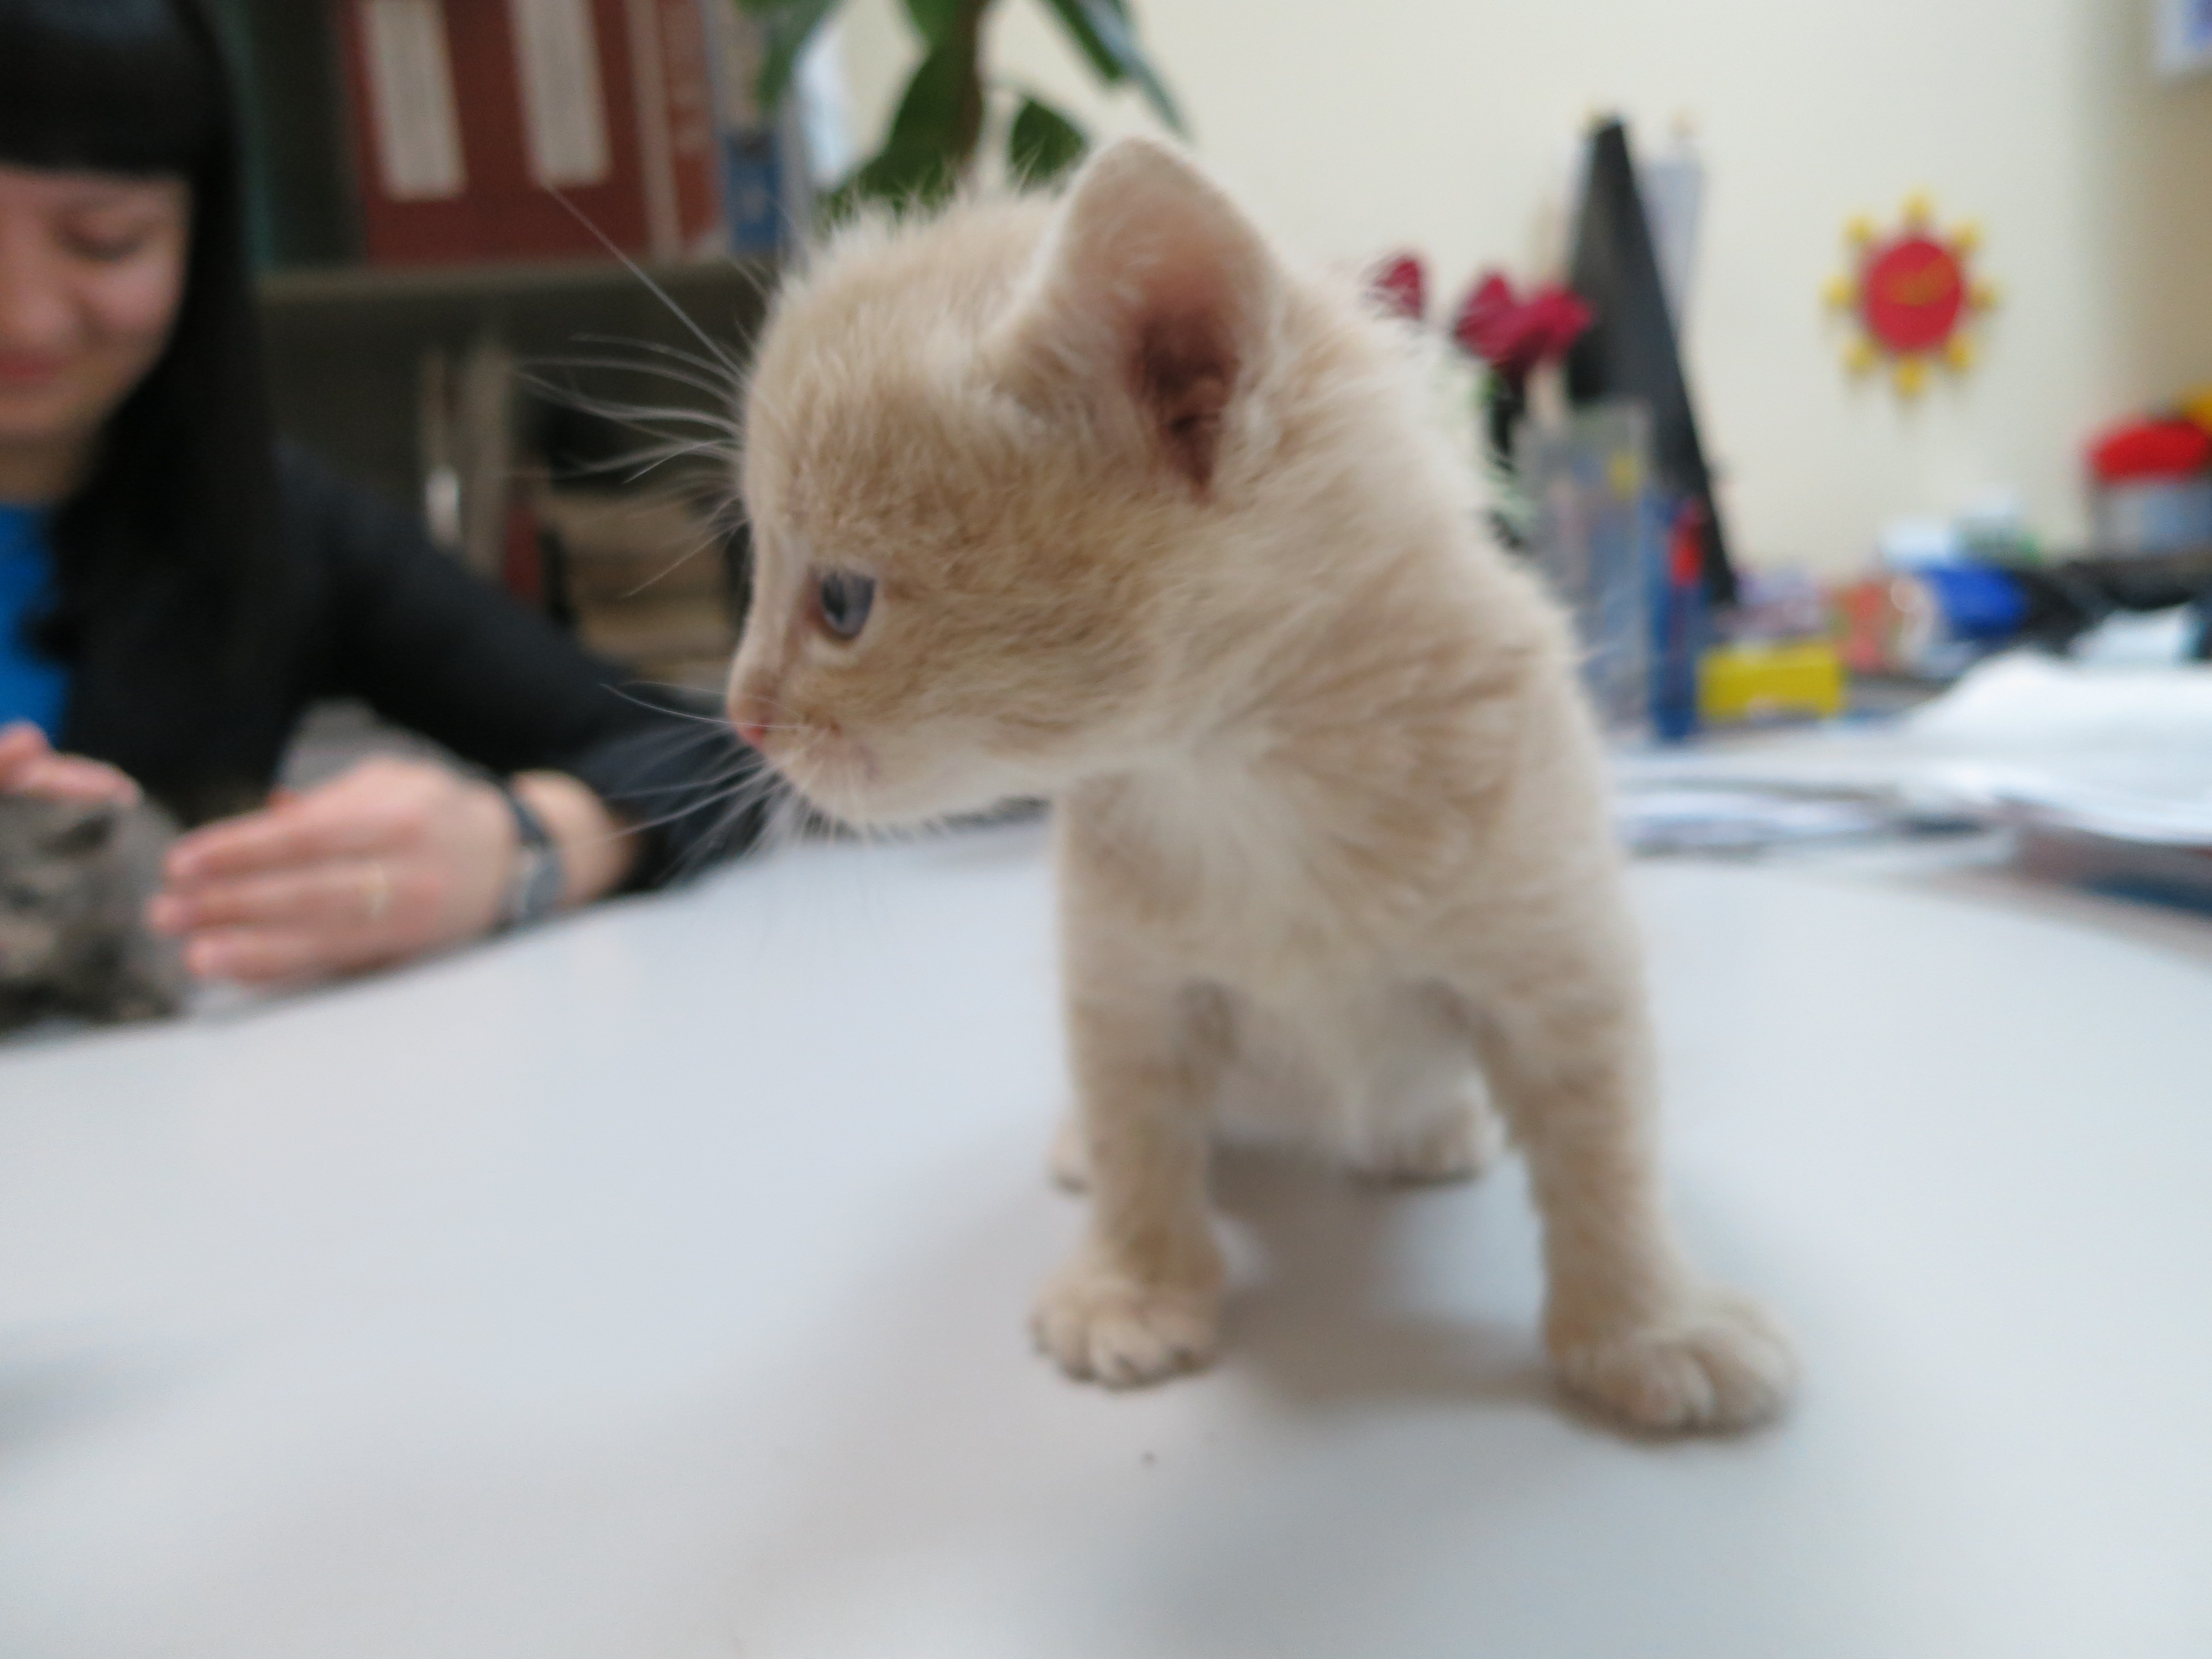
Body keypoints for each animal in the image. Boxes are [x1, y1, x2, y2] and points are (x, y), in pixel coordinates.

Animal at [725, 137, 1795, 1432]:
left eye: (840, 602)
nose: (738, 715)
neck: (1241, 773)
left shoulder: (1562, 960)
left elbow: (1607, 1151)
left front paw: (1648, 1325)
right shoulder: (1122, 983)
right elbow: (1137, 1134)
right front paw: (1132, 1286)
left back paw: (1432, 1129)